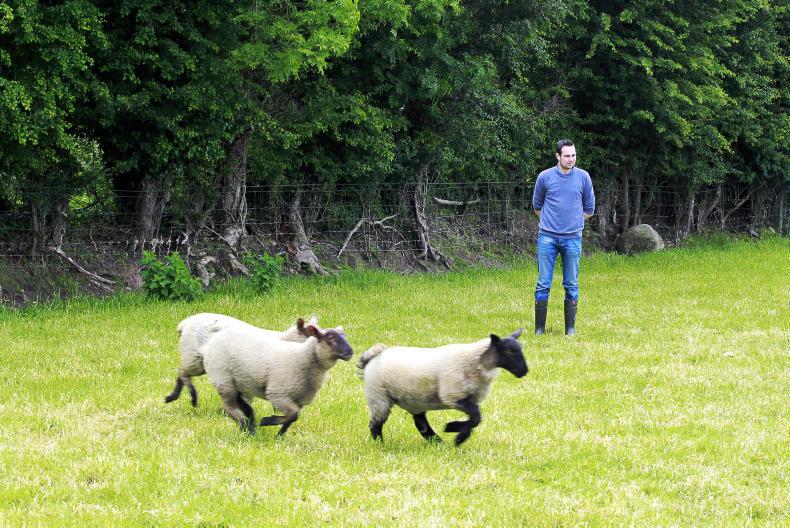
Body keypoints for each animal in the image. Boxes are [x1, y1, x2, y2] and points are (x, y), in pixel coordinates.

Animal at [164, 313, 317, 407]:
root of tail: (185, 323)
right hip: (193, 358)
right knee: (183, 372)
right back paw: (191, 397)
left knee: (181, 374)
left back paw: (173, 397)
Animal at [202, 318, 353, 436]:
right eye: (330, 338)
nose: (351, 352)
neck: (301, 357)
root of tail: (216, 336)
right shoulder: (278, 394)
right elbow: (292, 415)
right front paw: (267, 421)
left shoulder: (299, 399)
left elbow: (292, 418)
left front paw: (279, 435)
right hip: (223, 379)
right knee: (229, 407)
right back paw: (246, 426)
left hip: (237, 383)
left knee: (242, 404)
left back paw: (250, 424)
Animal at [357, 328, 527, 446]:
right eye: (510, 351)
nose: (524, 371)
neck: (475, 361)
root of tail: (371, 358)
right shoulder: (453, 395)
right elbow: (476, 417)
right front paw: (455, 433)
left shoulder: (468, 398)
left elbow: (475, 418)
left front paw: (455, 432)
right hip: (379, 398)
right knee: (375, 425)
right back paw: (381, 445)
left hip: (413, 400)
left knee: (422, 426)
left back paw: (438, 443)